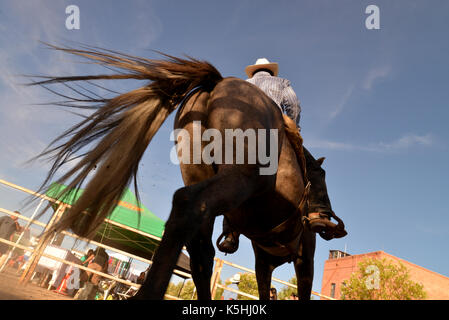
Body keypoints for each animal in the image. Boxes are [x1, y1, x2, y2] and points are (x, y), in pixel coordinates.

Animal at [28, 44, 328, 300]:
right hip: (244, 177)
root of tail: (217, 84)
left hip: (203, 177)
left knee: (200, 251)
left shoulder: (263, 261)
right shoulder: (304, 257)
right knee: (189, 205)